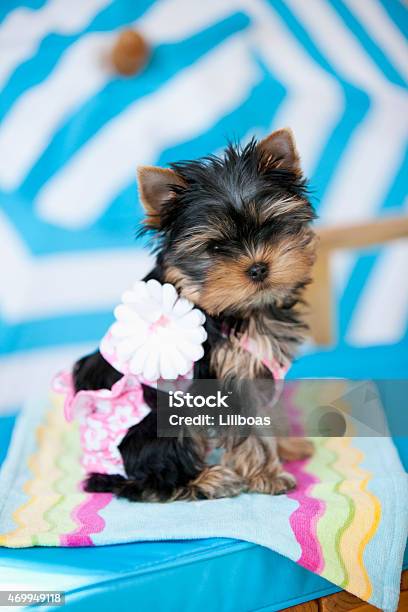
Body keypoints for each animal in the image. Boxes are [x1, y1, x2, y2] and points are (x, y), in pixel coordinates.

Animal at [72, 129, 316, 502]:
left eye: (271, 226)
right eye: (215, 248)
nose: (258, 268)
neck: (236, 309)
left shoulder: (257, 369)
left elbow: (269, 410)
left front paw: (288, 447)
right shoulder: (224, 377)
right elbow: (247, 428)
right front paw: (267, 475)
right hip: (155, 418)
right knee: (152, 476)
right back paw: (206, 480)